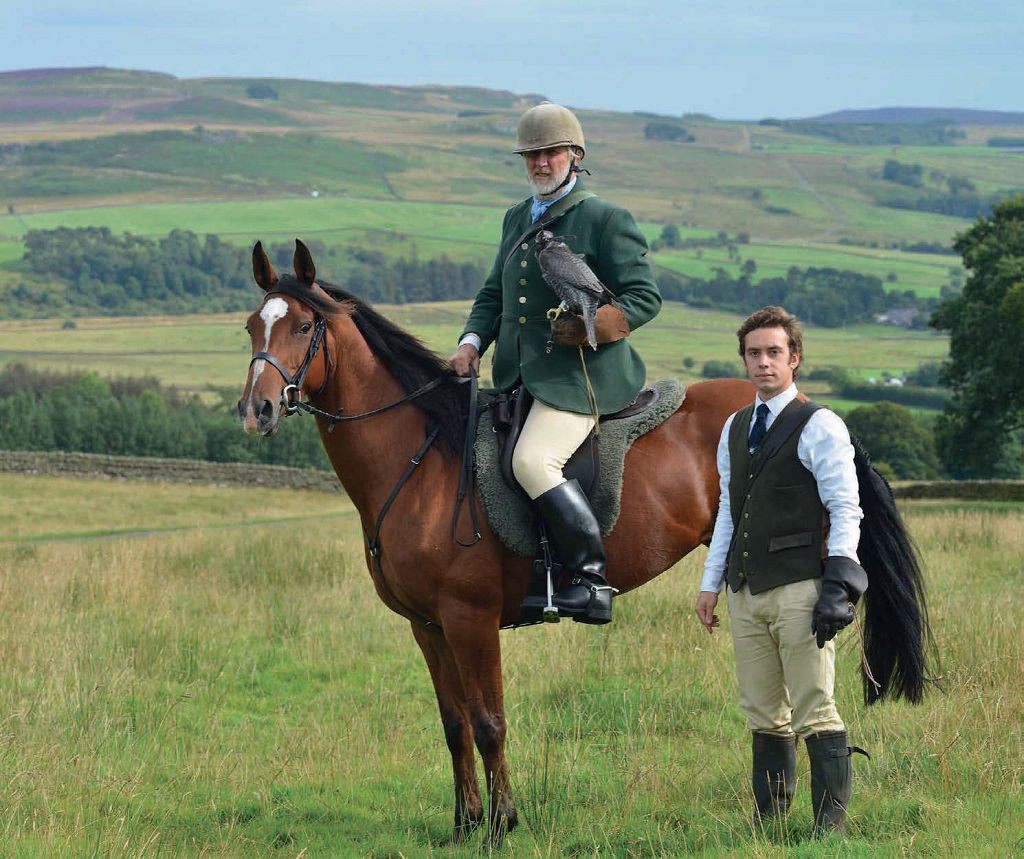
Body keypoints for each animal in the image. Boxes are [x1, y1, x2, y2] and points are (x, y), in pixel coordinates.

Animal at [235, 238, 933, 851]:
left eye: (303, 326)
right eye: (250, 327)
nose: (257, 411)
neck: (422, 457)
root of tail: (814, 409)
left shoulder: (469, 619)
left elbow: (489, 724)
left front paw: (500, 826)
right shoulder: (428, 626)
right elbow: (455, 726)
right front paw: (463, 826)